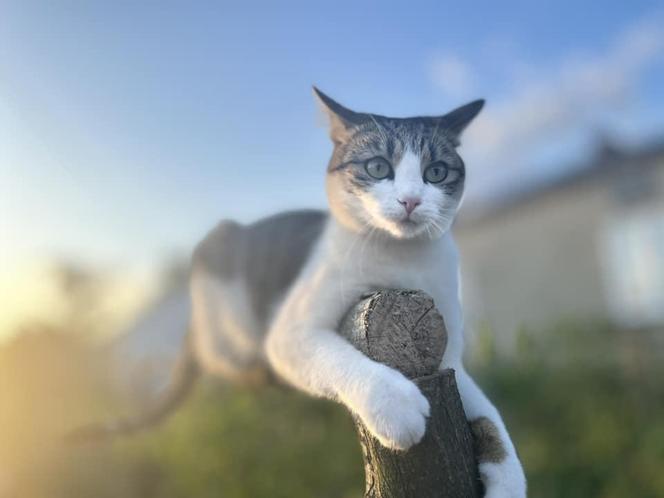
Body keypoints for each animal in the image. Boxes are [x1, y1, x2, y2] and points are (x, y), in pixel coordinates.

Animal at [72, 87, 528, 496]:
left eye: (436, 173)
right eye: (378, 167)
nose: (411, 200)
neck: (398, 263)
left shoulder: (447, 359)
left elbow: (493, 420)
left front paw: (507, 483)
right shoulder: (291, 332)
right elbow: (338, 358)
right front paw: (396, 406)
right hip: (221, 289)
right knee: (218, 356)